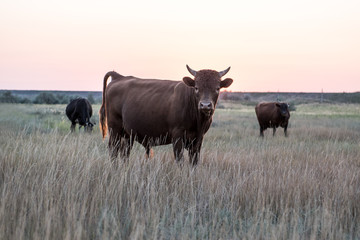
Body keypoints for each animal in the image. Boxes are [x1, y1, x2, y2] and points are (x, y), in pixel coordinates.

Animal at [99, 64, 233, 165]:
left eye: (217, 88)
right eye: (196, 87)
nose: (205, 105)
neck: (198, 121)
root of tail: (119, 77)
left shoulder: (198, 140)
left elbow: (194, 162)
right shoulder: (177, 136)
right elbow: (180, 161)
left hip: (128, 134)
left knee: (124, 153)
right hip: (114, 130)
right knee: (113, 151)